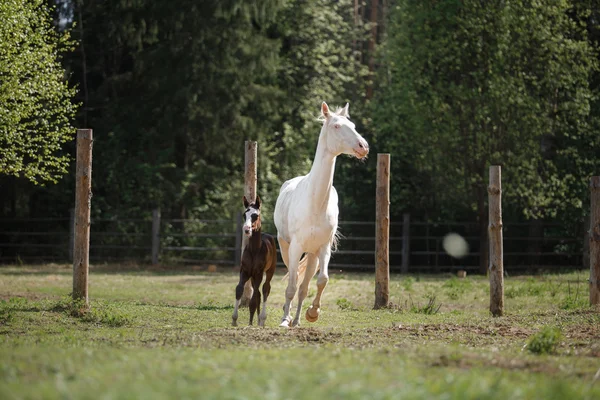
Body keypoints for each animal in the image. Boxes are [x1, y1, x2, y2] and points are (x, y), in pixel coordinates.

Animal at [274, 101, 368, 326]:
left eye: (352, 125)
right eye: (336, 126)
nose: (363, 146)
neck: (315, 203)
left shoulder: (323, 248)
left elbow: (322, 280)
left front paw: (313, 312)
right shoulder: (295, 247)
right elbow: (291, 285)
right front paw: (284, 320)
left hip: (313, 254)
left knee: (304, 286)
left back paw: (298, 320)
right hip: (285, 246)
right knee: (294, 281)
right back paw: (288, 317)